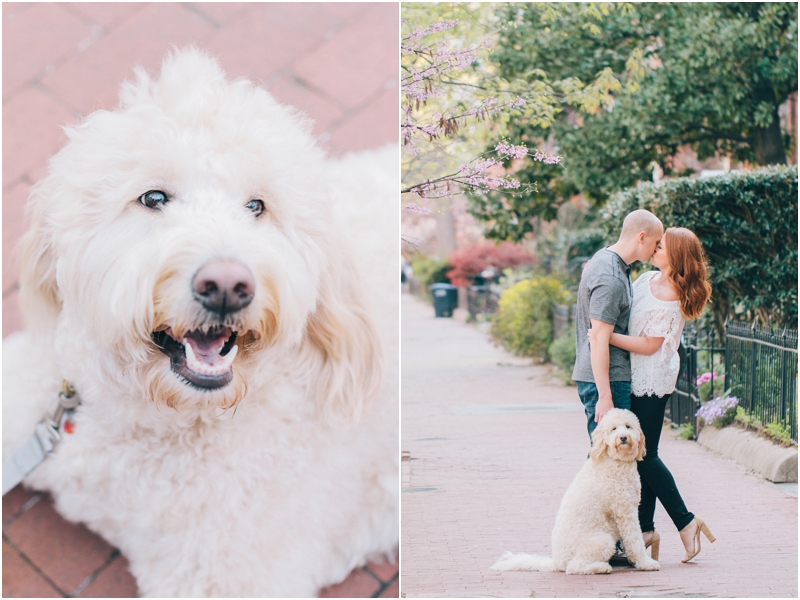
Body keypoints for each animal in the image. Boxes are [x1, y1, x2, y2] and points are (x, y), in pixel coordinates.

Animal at [490, 410, 660, 576]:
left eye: (628, 426)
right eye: (613, 429)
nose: (623, 437)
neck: (614, 461)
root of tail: (556, 562)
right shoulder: (625, 511)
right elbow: (635, 540)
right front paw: (646, 563)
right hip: (602, 541)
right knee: (573, 567)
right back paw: (600, 567)